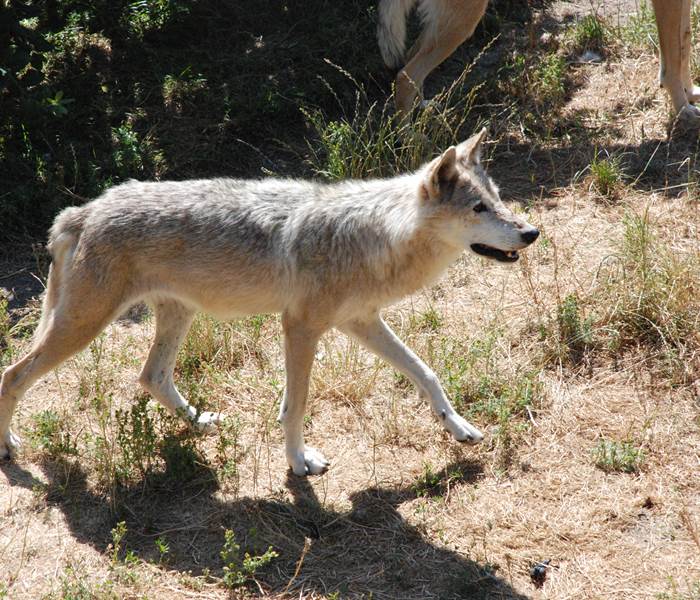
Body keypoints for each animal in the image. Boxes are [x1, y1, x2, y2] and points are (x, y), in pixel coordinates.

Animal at [0, 130, 539, 476]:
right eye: (478, 209)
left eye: (498, 198)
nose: (531, 232)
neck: (375, 236)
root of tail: (81, 210)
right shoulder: (300, 326)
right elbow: (296, 404)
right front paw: (299, 462)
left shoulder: (361, 321)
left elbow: (426, 372)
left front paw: (460, 427)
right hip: (83, 327)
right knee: (13, 375)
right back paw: (8, 449)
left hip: (176, 315)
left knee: (151, 376)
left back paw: (200, 421)